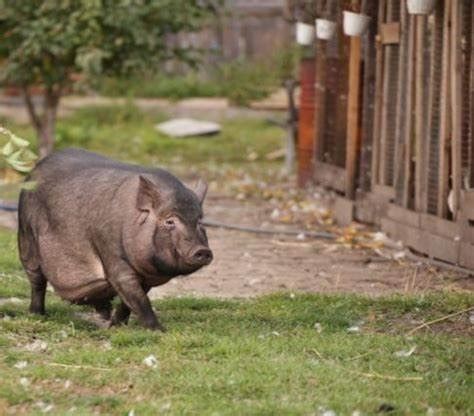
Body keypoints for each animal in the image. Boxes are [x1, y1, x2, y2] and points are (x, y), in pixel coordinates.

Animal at [17, 148, 212, 330]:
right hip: (26, 239)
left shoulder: (144, 277)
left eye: (200, 221)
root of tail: (33, 172)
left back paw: (103, 316)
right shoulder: (112, 255)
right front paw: (160, 331)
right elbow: (139, 299)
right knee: (37, 282)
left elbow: (130, 301)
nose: (203, 250)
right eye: (169, 221)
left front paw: (117, 326)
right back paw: (37, 314)